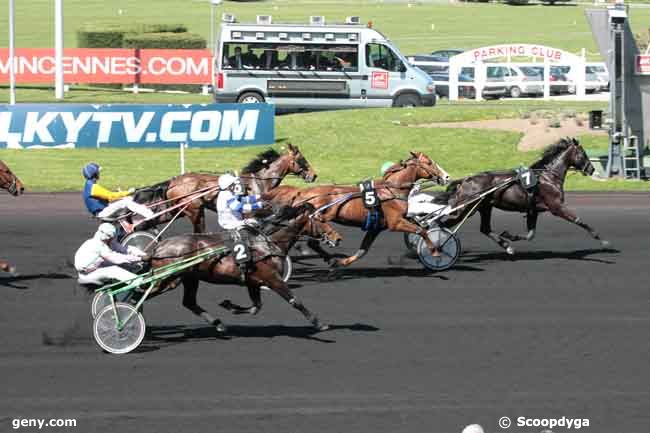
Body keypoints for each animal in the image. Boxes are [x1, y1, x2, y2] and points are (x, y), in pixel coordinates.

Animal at [133, 143, 316, 233]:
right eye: (302, 160)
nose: (313, 175)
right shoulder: (251, 210)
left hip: (178, 209)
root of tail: (174, 181)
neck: (258, 181)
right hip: (194, 209)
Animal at [146, 202, 340, 330]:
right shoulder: (272, 278)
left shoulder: (253, 281)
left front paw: (229, 305)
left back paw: (218, 324)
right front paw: (319, 323)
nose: (337, 238)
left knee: (189, 302)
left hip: (189, 277)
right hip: (169, 278)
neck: (267, 243)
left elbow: (256, 307)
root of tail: (158, 246)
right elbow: (295, 301)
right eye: (321, 219)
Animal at [260, 151, 448, 266]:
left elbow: (362, 251)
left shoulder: (375, 228)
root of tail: (302, 191)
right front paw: (435, 251)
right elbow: (421, 231)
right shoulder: (395, 222)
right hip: (321, 217)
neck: (391, 190)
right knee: (312, 239)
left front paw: (342, 263)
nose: (446, 177)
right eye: (429, 162)